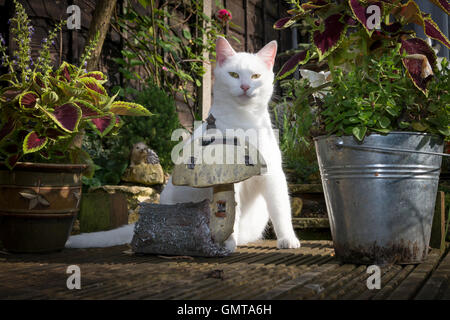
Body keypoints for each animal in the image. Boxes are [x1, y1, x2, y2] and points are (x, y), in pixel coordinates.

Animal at [65, 37, 300, 251]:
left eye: (256, 76)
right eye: (234, 75)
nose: (244, 86)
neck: (244, 120)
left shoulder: (273, 175)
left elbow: (281, 210)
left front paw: (288, 239)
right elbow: (231, 211)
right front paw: (227, 242)